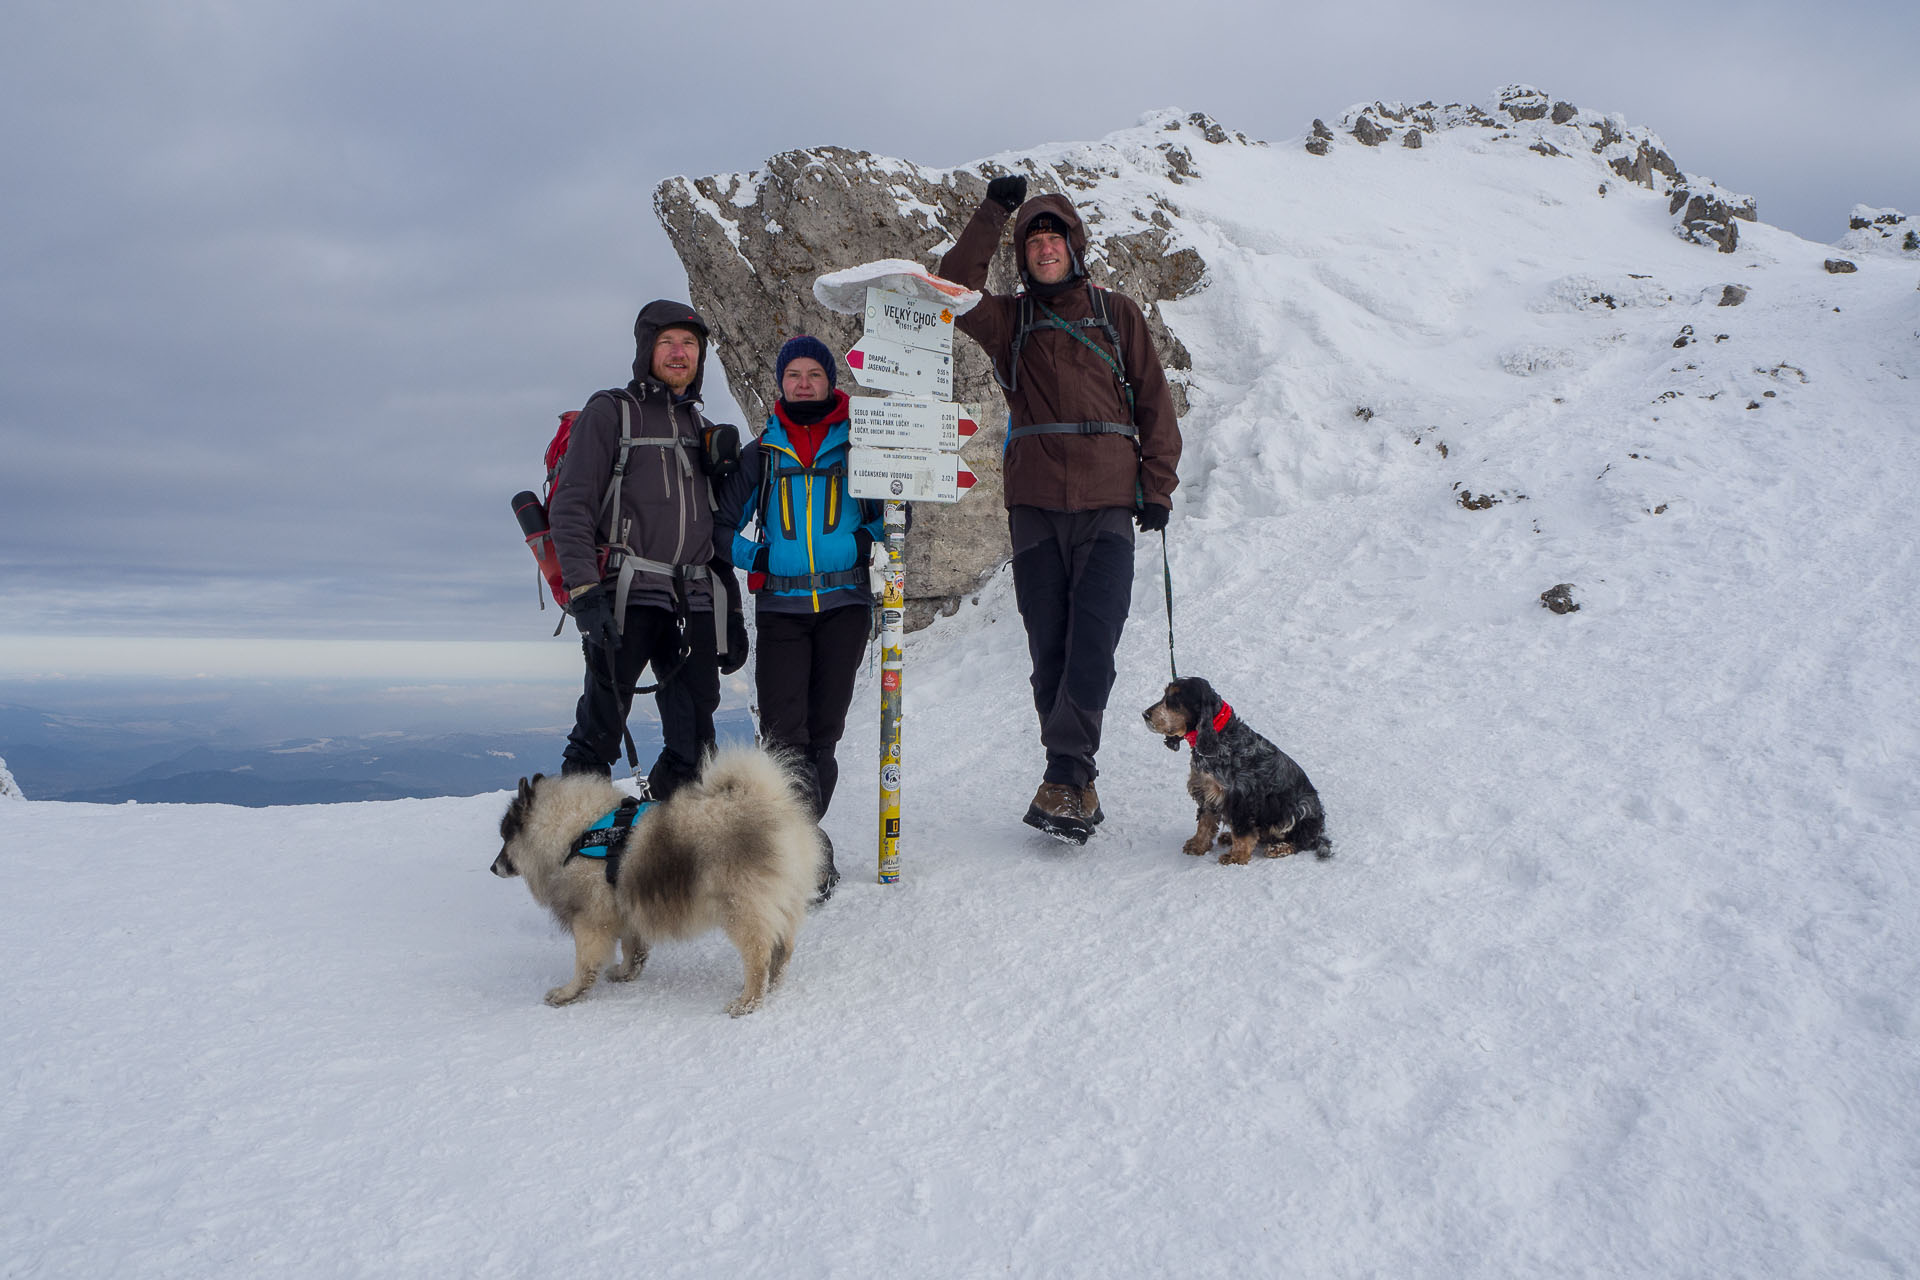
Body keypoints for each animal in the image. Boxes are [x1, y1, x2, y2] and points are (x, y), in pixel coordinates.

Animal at [487, 744, 817, 1013]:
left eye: (505, 838)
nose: (493, 867)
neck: (576, 834)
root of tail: (773, 806)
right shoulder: (626, 909)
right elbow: (632, 949)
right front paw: (625, 973)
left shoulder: (590, 921)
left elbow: (584, 963)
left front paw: (568, 993)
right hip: (781, 903)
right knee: (782, 949)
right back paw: (772, 986)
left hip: (740, 909)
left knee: (759, 955)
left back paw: (748, 1001)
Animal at [1144, 675, 1328, 867]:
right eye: (1165, 695)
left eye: (1175, 699)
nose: (1145, 715)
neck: (1220, 737)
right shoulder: (1207, 792)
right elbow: (1205, 823)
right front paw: (1197, 846)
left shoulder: (1240, 798)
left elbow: (1243, 832)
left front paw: (1236, 857)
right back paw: (1227, 837)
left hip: (1298, 810)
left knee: (1301, 841)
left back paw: (1278, 848)